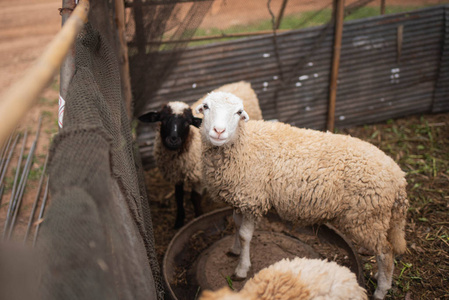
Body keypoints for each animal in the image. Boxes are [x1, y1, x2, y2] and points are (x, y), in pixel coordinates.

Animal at [138, 81, 260, 227]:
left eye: (187, 123)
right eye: (162, 120)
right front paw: (179, 221)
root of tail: (244, 84)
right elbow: (178, 196)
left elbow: (195, 197)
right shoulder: (176, 173)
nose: (173, 139)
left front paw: (198, 217)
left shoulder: (198, 175)